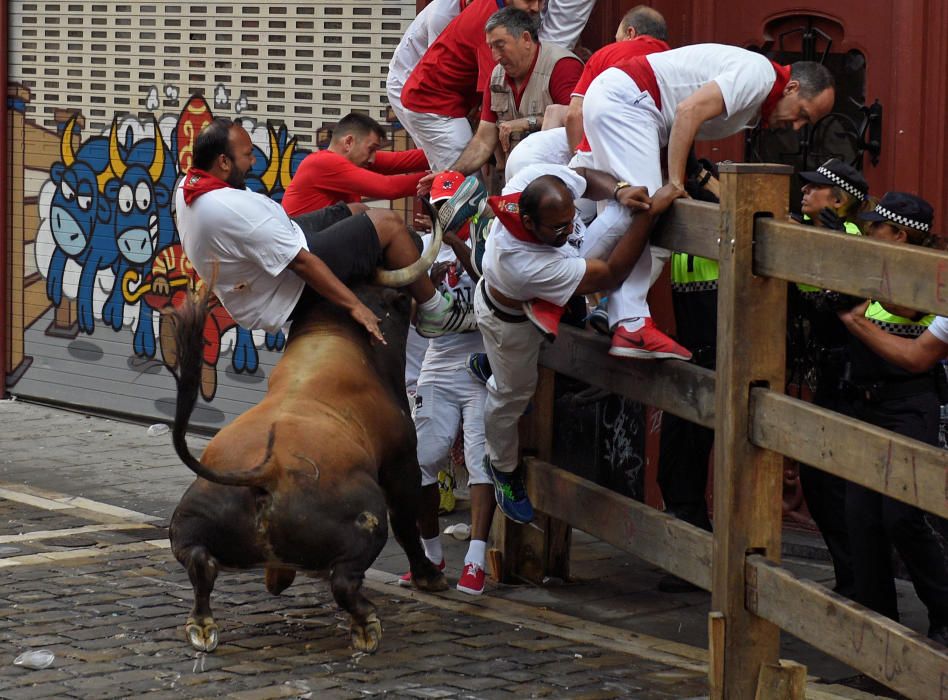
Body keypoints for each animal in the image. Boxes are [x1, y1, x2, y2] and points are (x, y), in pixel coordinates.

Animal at [168, 276, 450, 652]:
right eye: (400, 301)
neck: (331, 333)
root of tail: (268, 472)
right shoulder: (402, 461)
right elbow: (407, 523)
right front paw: (429, 576)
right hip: (366, 523)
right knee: (345, 581)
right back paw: (366, 626)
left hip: (189, 521)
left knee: (200, 561)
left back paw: (203, 624)